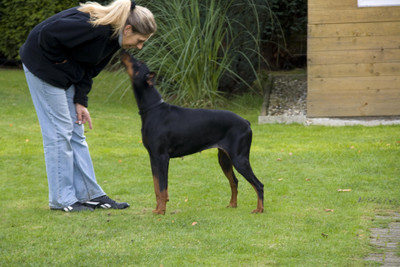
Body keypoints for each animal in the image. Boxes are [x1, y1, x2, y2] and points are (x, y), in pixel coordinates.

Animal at [121, 51, 266, 216]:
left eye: (138, 63)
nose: (124, 52)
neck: (153, 109)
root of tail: (246, 122)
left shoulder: (162, 157)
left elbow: (163, 188)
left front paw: (162, 210)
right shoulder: (153, 158)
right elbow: (157, 187)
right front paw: (158, 209)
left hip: (239, 158)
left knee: (259, 184)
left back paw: (259, 209)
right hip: (224, 158)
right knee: (234, 181)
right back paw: (232, 204)